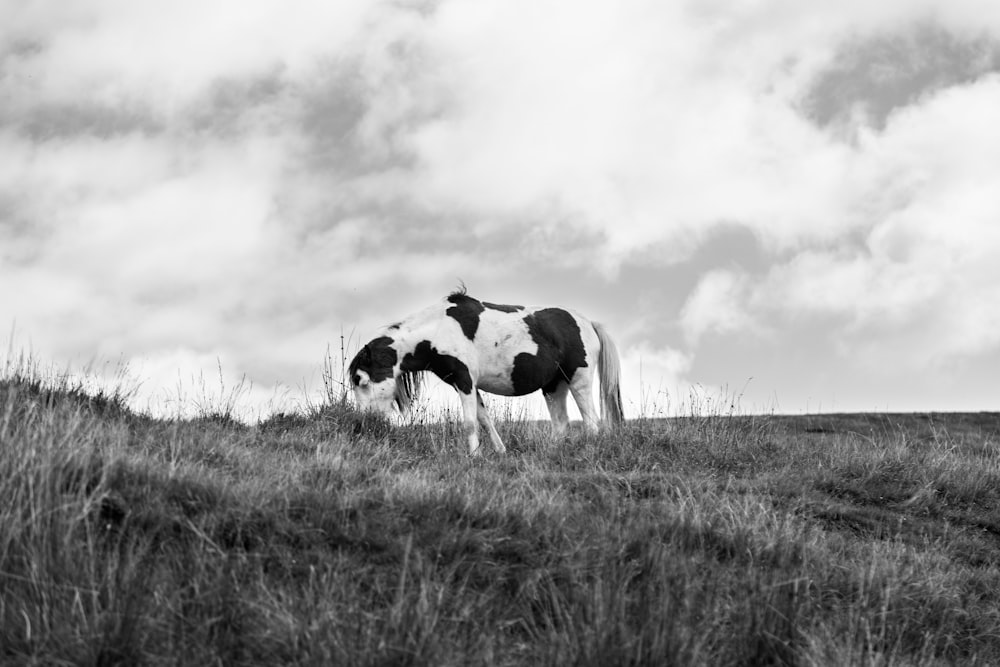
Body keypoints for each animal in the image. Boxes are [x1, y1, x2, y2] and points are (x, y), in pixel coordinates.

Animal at [348, 290, 620, 456]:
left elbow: (470, 422)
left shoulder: (465, 381)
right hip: (554, 386)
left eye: (361, 380)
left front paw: (472, 456)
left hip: (578, 380)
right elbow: (484, 419)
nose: (365, 424)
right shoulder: (469, 385)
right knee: (561, 423)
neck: (439, 330)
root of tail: (588, 323)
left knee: (591, 422)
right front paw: (497, 452)